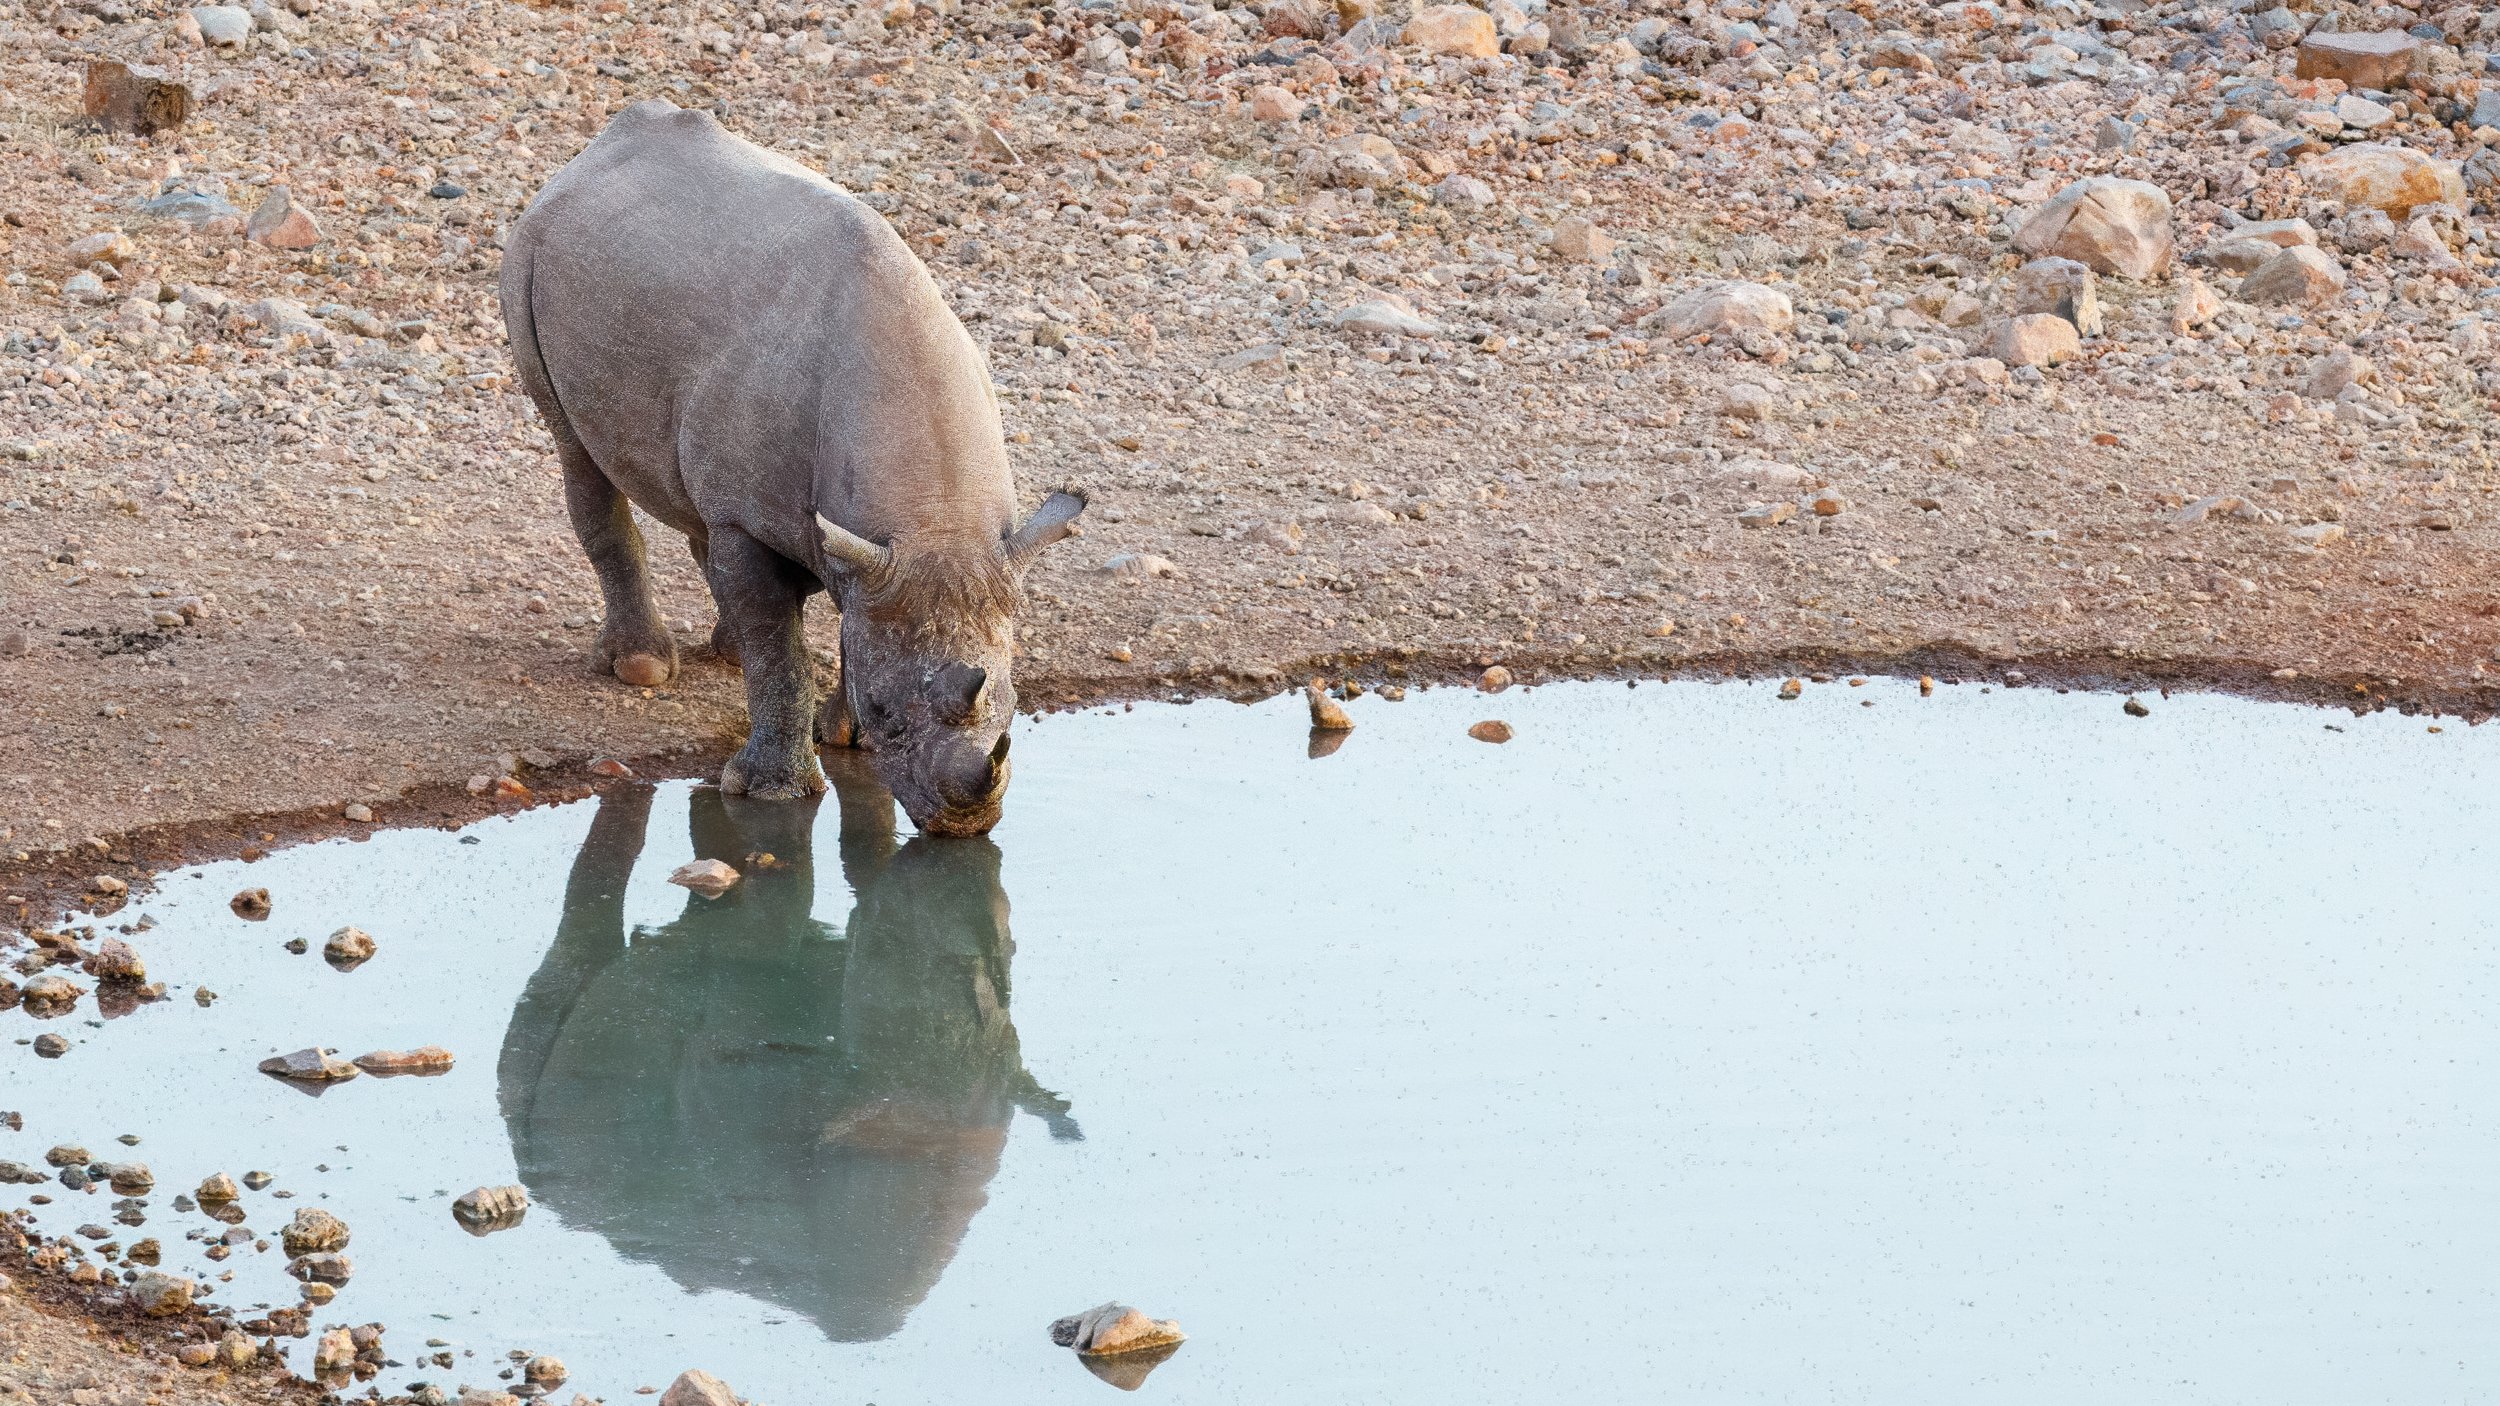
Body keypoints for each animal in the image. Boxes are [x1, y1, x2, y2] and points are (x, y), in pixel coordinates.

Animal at [500, 99, 1083, 834]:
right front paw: (773, 791)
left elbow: (845, 619)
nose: (964, 825)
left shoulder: (882, 548)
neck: (931, 519)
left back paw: (722, 649)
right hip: (526, 253)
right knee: (577, 450)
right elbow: (777, 648)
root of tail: (594, 151)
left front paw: (845, 737)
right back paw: (641, 668)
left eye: (1012, 702)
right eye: (889, 713)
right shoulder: (767, 523)